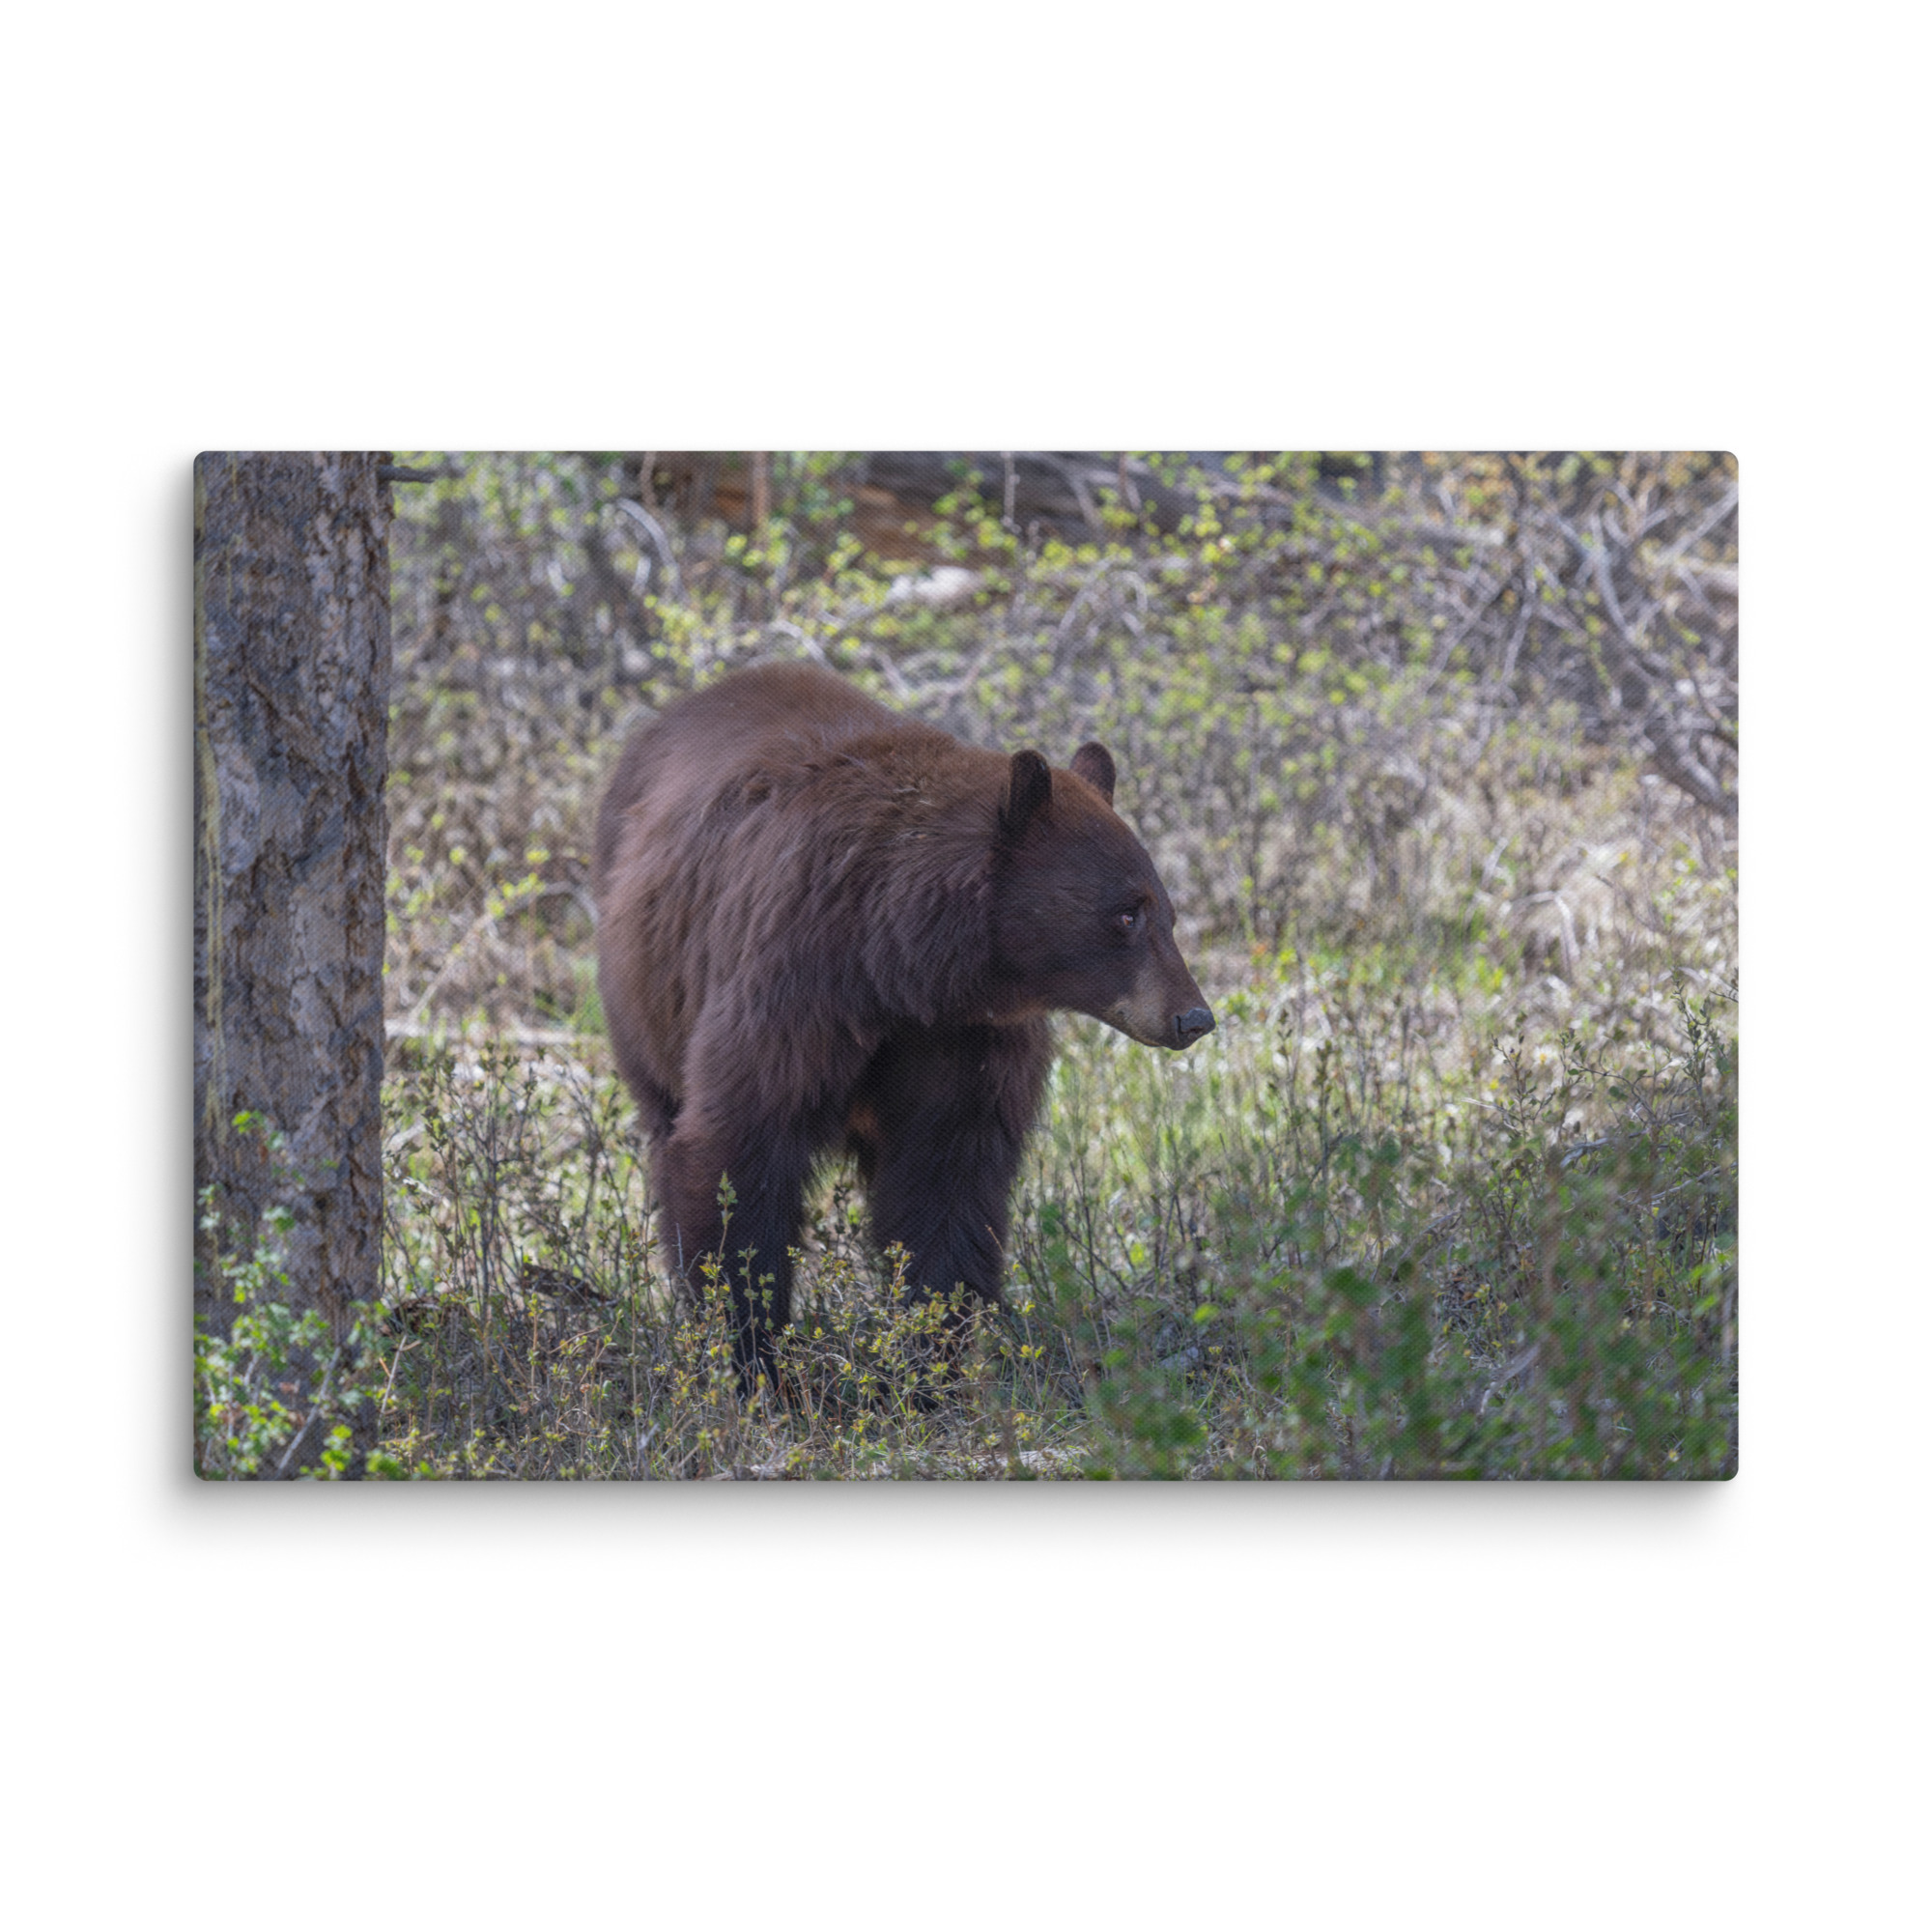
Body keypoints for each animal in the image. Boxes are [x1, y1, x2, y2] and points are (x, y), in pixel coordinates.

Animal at [592, 661, 1214, 1385]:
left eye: (1166, 912)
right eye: (1125, 914)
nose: (1193, 1017)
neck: (900, 964)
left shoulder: (965, 1038)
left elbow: (947, 1178)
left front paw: (931, 1361)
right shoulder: (794, 984)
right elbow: (739, 1147)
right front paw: (753, 1357)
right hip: (646, 997)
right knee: (667, 1126)